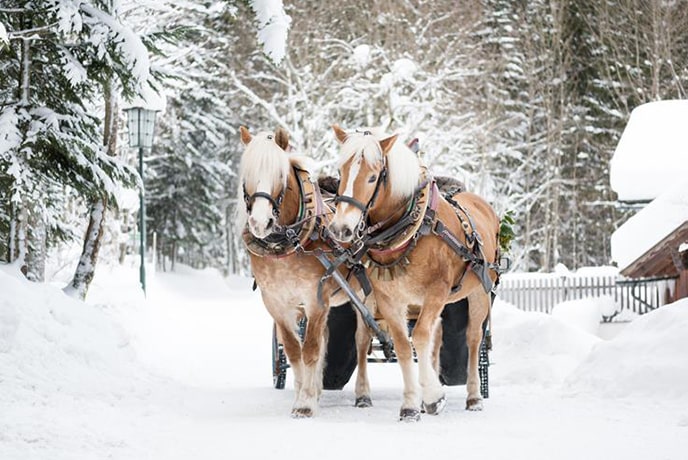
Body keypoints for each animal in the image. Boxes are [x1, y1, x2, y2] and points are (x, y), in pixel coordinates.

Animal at [238, 125, 376, 416]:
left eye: (280, 175)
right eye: (247, 176)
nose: (259, 223)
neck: (288, 243)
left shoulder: (315, 299)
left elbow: (310, 349)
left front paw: (305, 404)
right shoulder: (277, 303)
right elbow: (294, 350)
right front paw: (304, 393)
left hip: (364, 297)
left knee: (361, 342)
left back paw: (362, 394)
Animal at [328, 125, 500, 420]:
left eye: (372, 176)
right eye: (341, 172)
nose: (341, 229)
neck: (413, 229)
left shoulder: (437, 291)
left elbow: (419, 337)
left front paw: (433, 395)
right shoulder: (389, 299)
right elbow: (403, 345)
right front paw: (411, 403)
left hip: (479, 291)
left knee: (473, 339)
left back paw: (474, 396)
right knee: (432, 339)